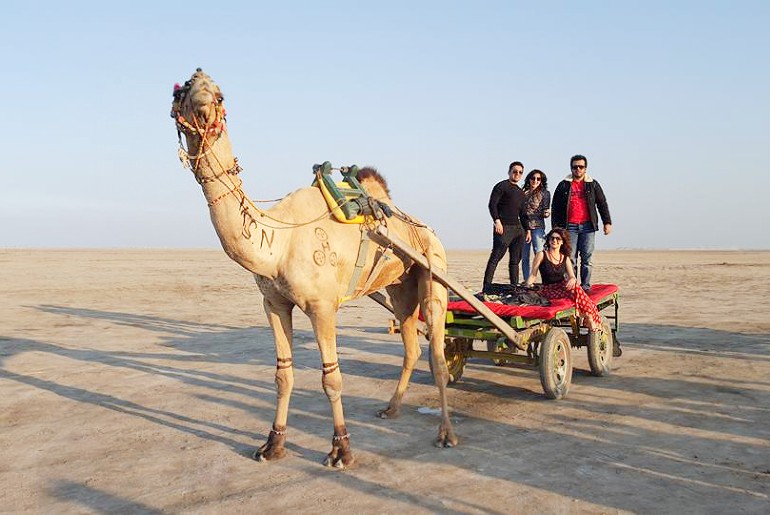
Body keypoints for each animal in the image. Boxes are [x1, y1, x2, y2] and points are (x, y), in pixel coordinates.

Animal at [169, 68, 456, 468]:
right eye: (180, 92)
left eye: (221, 95)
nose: (202, 102)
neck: (278, 240)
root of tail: (428, 231)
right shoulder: (273, 303)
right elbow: (282, 375)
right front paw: (272, 444)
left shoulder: (322, 306)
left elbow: (331, 379)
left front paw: (341, 450)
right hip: (401, 285)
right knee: (412, 344)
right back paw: (391, 408)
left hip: (433, 272)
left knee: (439, 357)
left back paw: (446, 434)